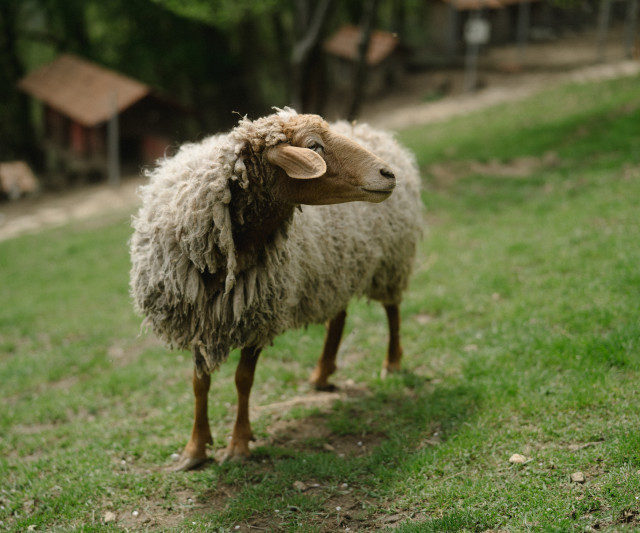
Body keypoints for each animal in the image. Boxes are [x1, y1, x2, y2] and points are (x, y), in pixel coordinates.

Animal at [128, 109, 422, 470]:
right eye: (314, 146)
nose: (387, 174)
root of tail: (370, 130)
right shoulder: (198, 318)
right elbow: (200, 383)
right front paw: (194, 450)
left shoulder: (259, 314)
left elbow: (243, 380)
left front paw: (239, 444)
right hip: (337, 268)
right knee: (339, 316)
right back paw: (322, 373)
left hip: (391, 260)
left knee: (392, 309)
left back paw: (391, 363)